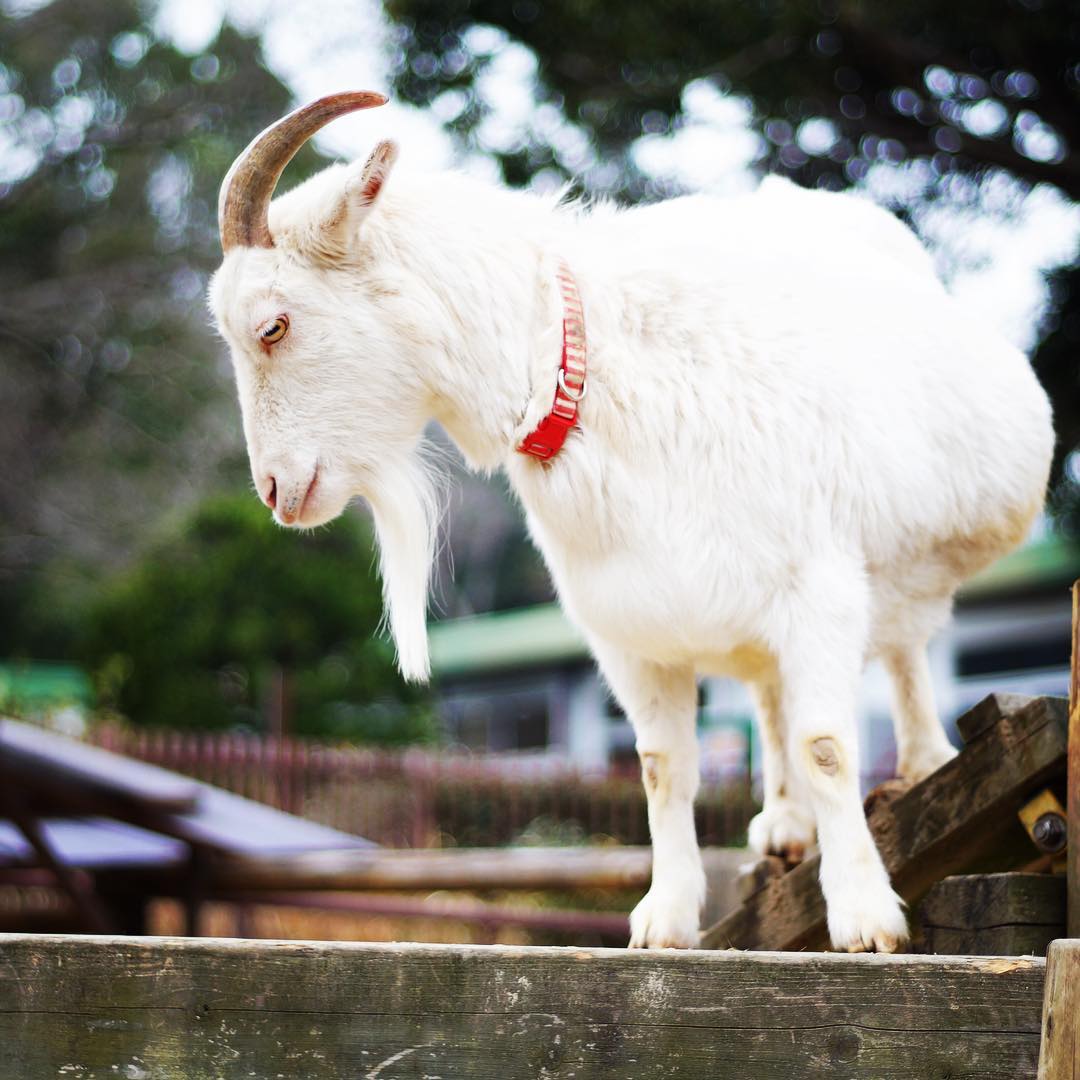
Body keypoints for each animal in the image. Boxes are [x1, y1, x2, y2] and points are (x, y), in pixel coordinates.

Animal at [208, 95, 1054, 954]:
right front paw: (665, 918)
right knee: (768, 692)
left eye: (272, 326)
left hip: (895, 569)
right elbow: (660, 763)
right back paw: (784, 826)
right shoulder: (630, 629)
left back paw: (921, 761)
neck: (586, 374)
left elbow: (824, 743)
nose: (276, 490)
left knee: (906, 650)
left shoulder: (817, 588)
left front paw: (864, 916)